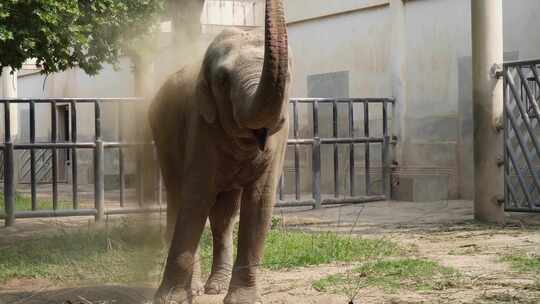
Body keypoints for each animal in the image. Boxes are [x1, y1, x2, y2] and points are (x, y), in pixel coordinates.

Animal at [148, 0, 292, 302]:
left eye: (287, 75)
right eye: (224, 80)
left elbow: (259, 202)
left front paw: (242, 300)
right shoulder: (200, 123)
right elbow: (196, 197)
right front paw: (170, 298)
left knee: (223, 215)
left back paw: (214, 287)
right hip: (162, 136)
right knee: (179, 198)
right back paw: (196, 289)